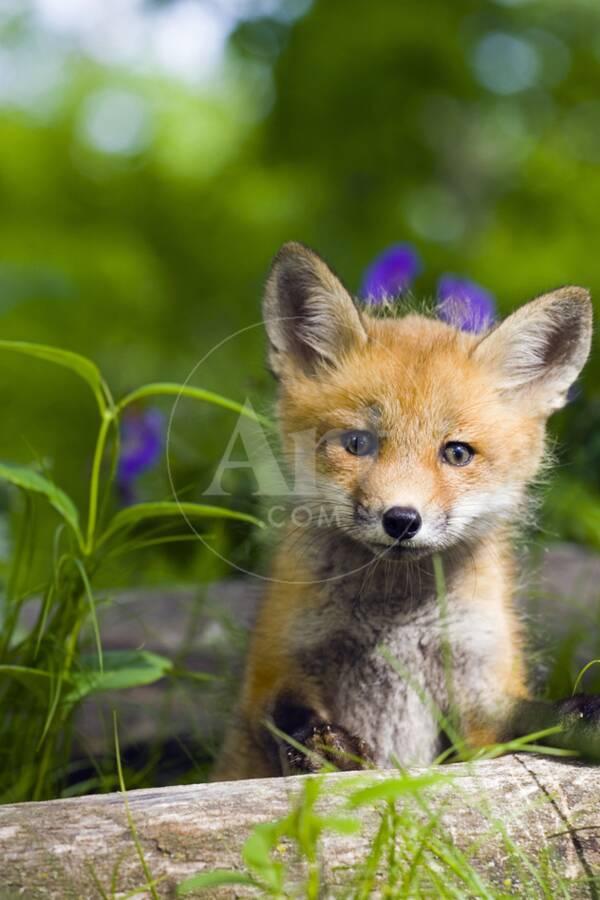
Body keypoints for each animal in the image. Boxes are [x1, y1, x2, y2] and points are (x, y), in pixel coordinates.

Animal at [214, 241, 599, 781]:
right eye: (358, 443)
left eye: (456, 453)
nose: (400, 520)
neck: (395, 619)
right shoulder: (277, 667)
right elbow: (284, 715)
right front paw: (323, 743)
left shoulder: (480, 695)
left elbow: (529, 721)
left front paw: (580, 717)